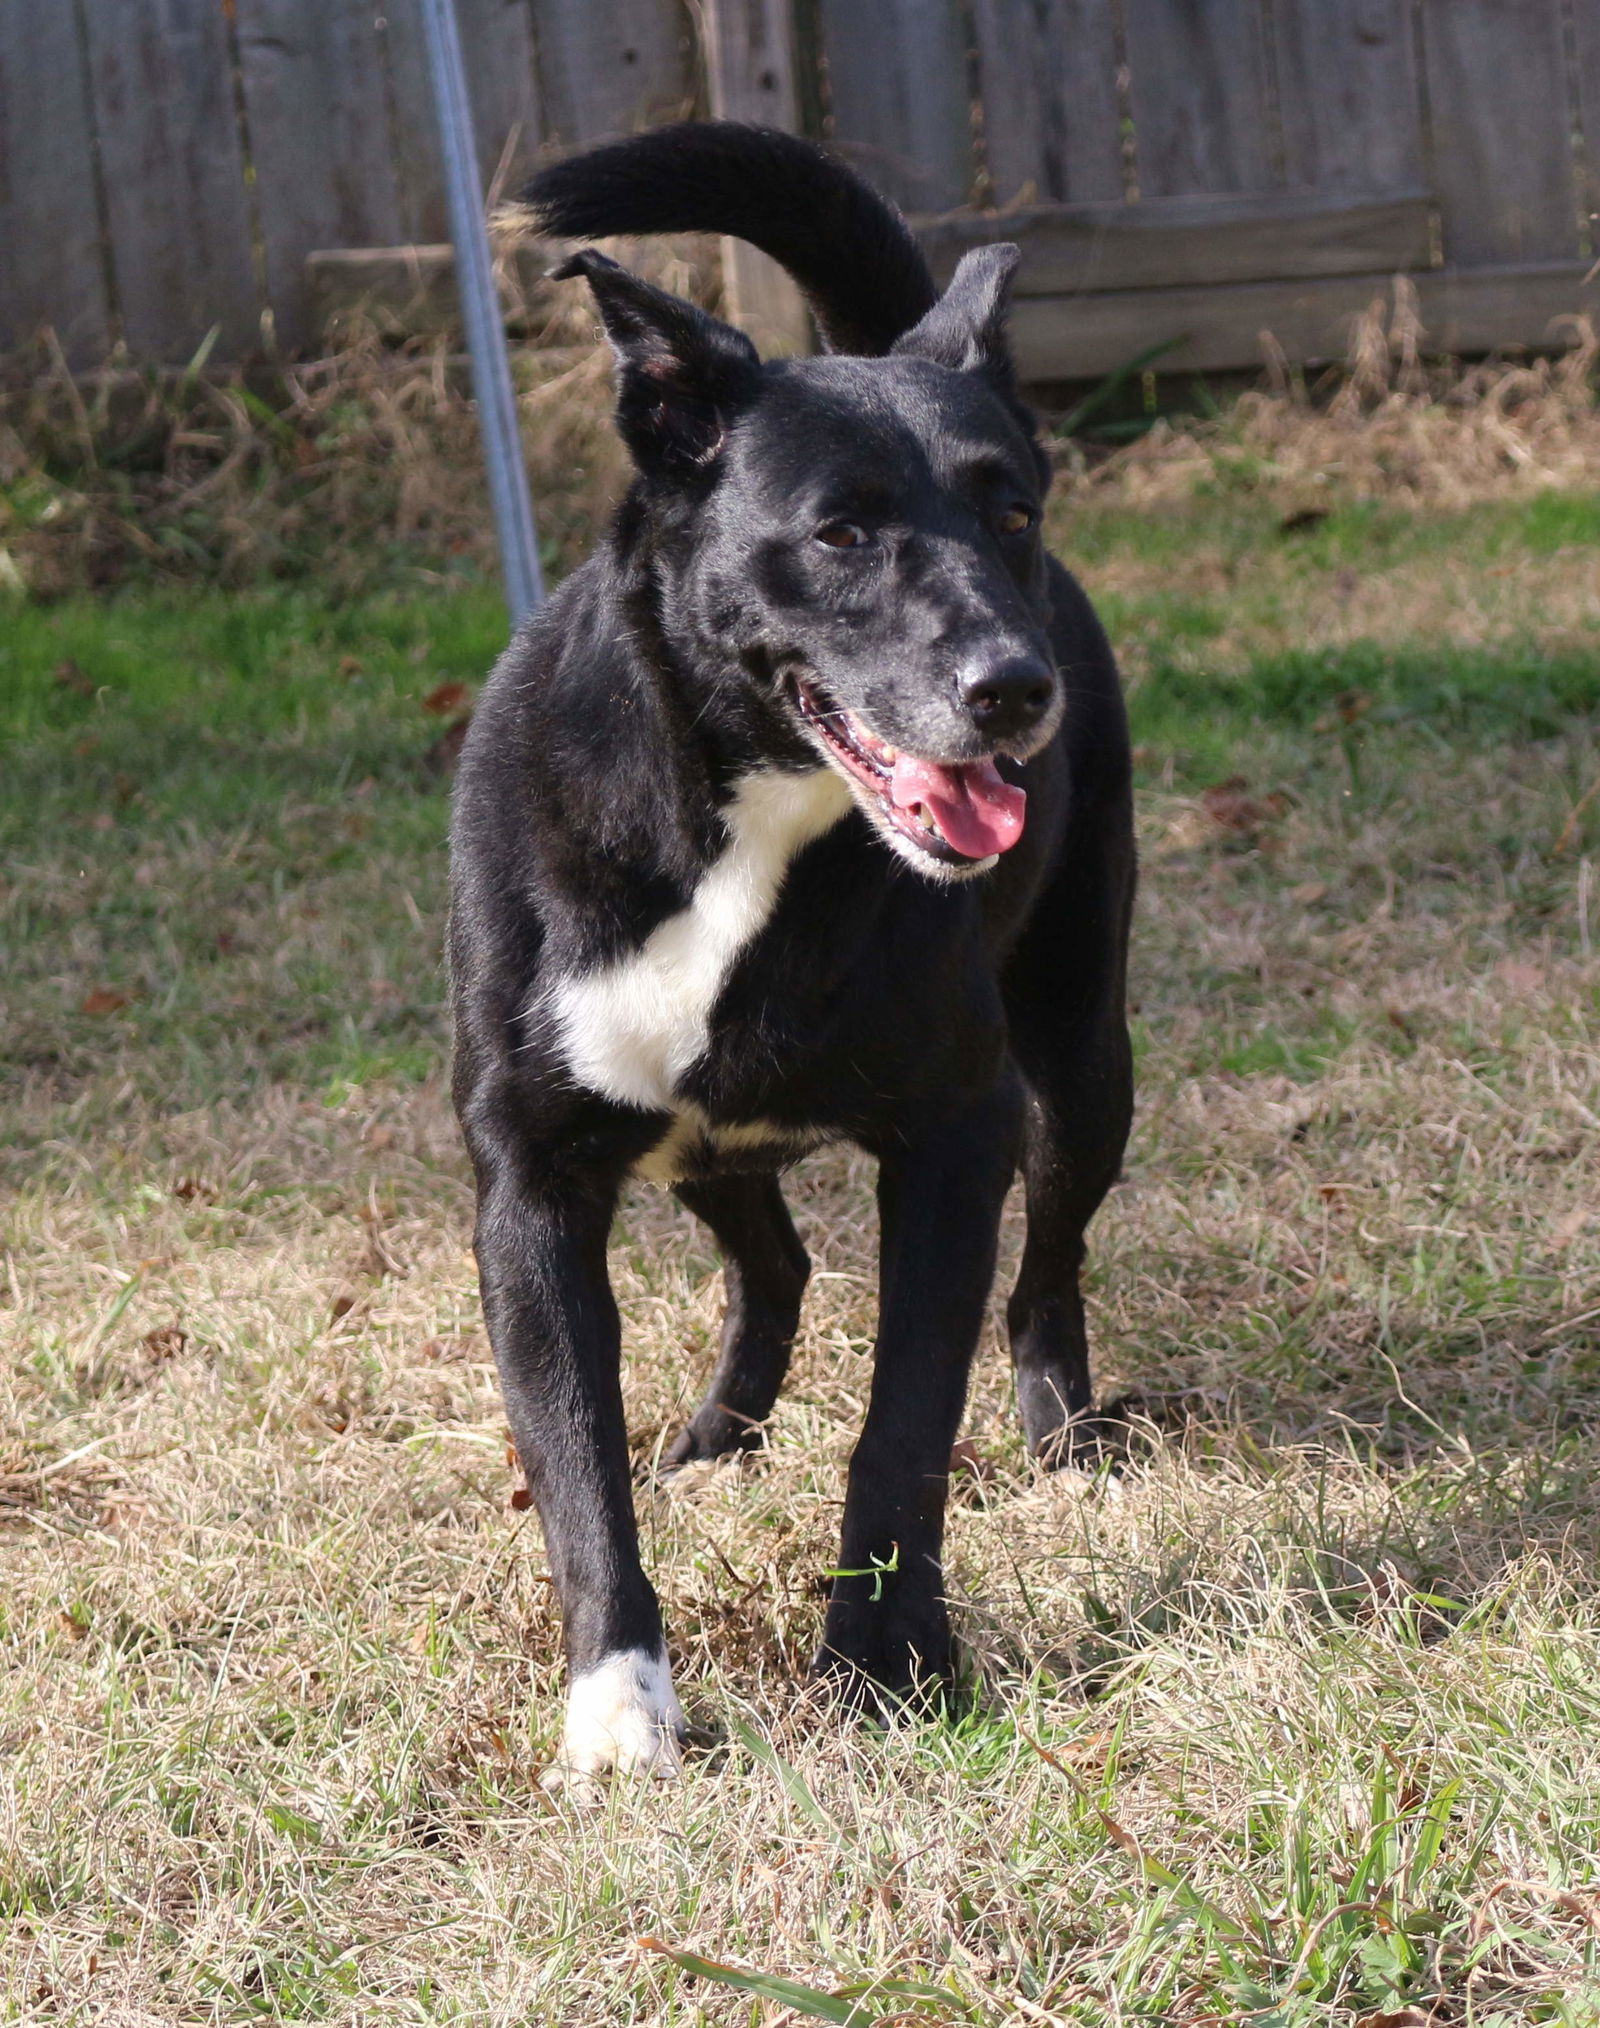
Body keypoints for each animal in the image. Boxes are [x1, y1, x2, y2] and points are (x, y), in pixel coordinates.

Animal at [444, 122, 1127, 1792]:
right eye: (842, 531)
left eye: (1013, 512)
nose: (1015, 691)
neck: (743, 820)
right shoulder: (531, 1189)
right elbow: (577, 1472)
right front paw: (620, 1710)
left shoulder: (954, 1139)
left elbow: (905, 1424)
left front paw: (887, 1663)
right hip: (695, 1138)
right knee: (775, 1261)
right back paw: (714, 1436)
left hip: (1081, 1057)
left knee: (1049, 1261)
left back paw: (1062, 1427)